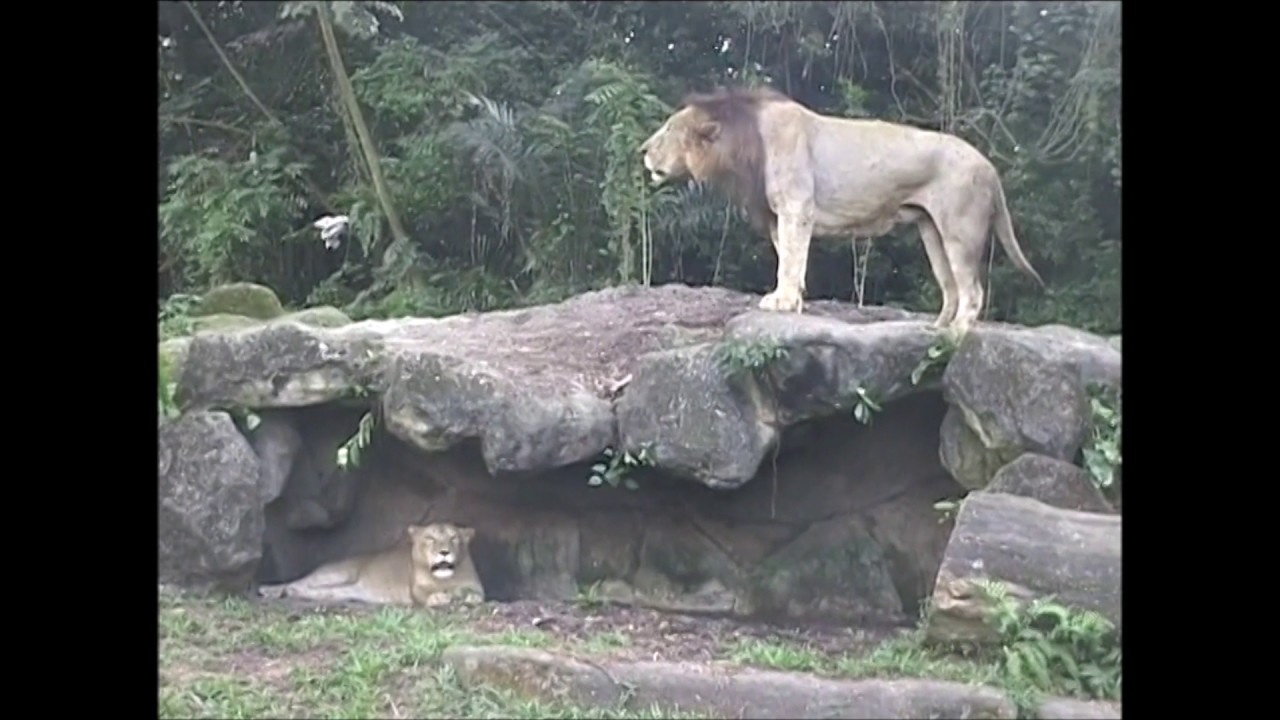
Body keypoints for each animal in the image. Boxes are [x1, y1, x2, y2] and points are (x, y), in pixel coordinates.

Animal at [257, 523, 484, 608]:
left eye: (453, 538)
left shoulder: (476, 585)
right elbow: (425, 595)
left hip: (339, 591)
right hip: (337, 573)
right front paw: (438, 598)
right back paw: (270, 589)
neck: (443, 579)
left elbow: (476, 594)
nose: (444, 551)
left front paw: (468, 597)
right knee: (299, 581)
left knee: (307, 590)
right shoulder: (415, 589)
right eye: (430, 538)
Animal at [639, 87, 1044, 333]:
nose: (642, 150)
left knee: (972, 289)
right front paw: (792, 300)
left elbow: (790, 260)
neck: (744, 144)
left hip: (960, 229)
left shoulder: (797, 206)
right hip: (932, 231)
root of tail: (989, 166)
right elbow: (787, 258)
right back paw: (937, 328)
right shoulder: (779, 214)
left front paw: (782, 302)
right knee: (952, 285)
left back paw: (957, 333)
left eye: (668, 130)